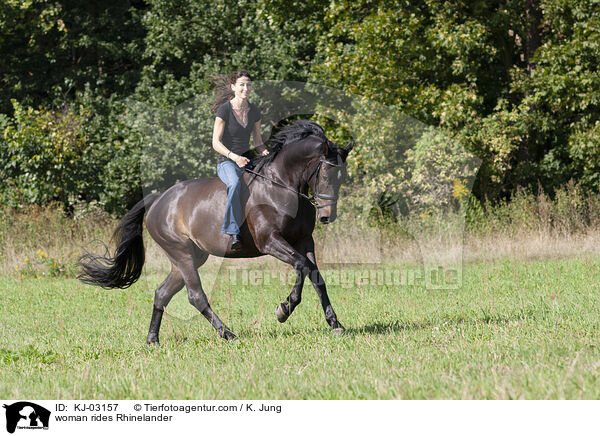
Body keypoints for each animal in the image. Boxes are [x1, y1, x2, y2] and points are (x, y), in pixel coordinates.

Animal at [78, 121, 352, 342]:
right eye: (326, 175)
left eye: (342, 178)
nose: (327, 216)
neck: (282, 184)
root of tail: (158, 199)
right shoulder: (270, 241)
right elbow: (301, 266)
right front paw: (284, 309)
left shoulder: (305, 241)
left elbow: (316, 277)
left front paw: (335, 323)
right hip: (181, 253)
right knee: (195, 296)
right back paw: (227, 333)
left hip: (190, 257)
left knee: (162, 293)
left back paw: (153, 339)